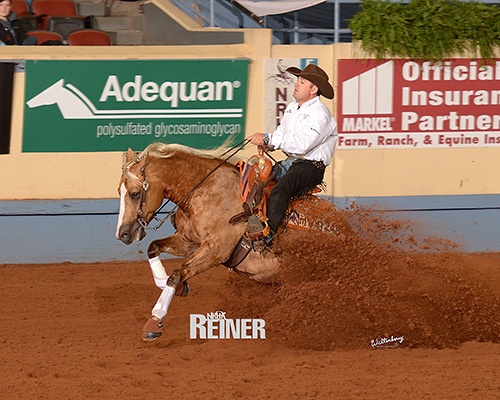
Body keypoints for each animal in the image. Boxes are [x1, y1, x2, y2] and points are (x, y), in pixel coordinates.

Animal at [115, 141, 348, 340]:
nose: (123, 234)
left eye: (135, 193)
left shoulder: (216, 250)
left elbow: (177, 273)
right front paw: (167, 283)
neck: (205, 191)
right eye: (120, 190)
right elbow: (153, 248)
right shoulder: (188, 242)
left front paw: (155, 321)